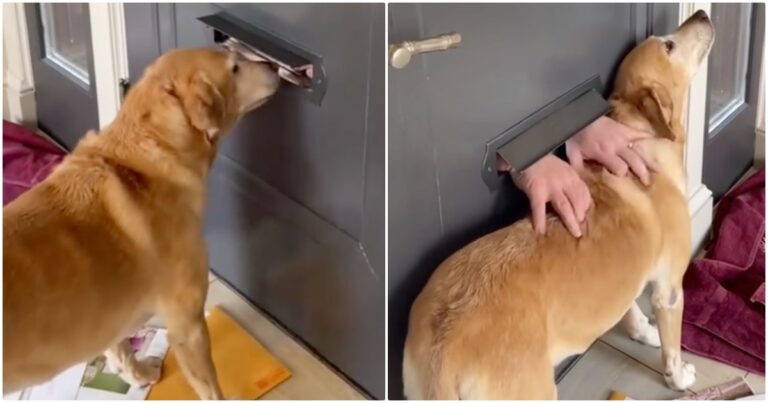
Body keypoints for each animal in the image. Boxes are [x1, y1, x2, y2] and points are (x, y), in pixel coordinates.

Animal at [3, 49, 280, 400]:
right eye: (234, 67)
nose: (274, 64)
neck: (148, 152)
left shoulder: (109, 317)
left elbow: (119, 349)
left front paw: (138, 374)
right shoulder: (188, 323)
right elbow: (210, 385)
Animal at [404, 11, 716, 400]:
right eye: (669, 45)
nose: (701, 13)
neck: (642, 136)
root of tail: (442, 352)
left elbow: (629, 306)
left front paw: (642, 330)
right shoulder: (670, 290)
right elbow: (671, 346)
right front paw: (679, 376)